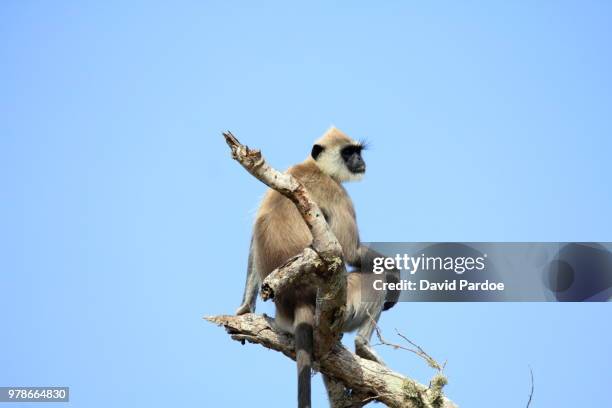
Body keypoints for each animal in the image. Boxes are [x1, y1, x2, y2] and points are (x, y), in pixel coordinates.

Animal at [233, 127, 396, 408]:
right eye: (348, 152)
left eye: (358, 152)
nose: (359, 161)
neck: (313, 166)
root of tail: (297, 299)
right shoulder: (337, 192)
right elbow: (351, 252)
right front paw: (396, 276)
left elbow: (253, 242)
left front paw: (244, 309)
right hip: (344, 302)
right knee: (375, 278)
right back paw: (363, 347)